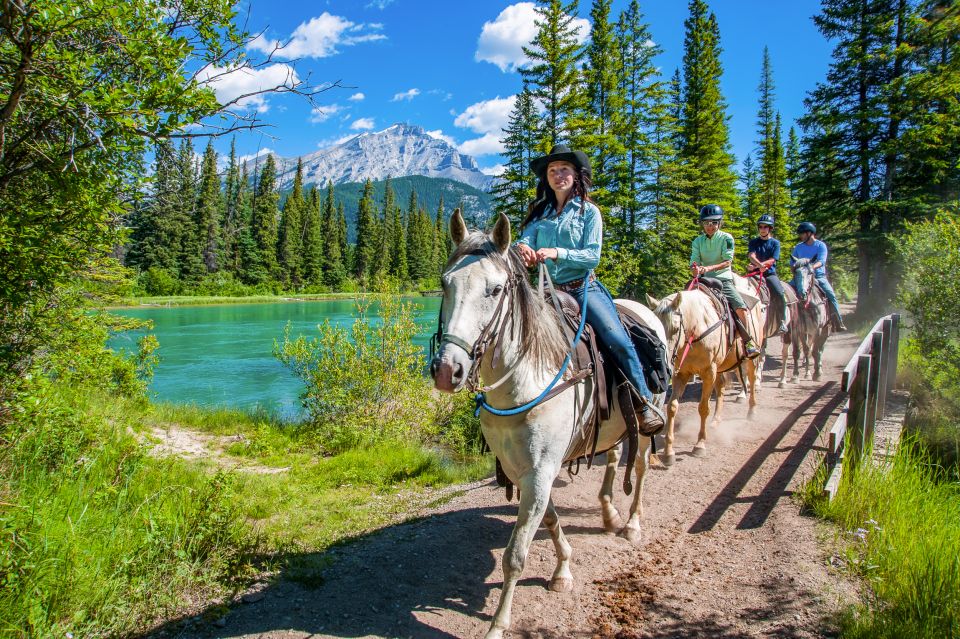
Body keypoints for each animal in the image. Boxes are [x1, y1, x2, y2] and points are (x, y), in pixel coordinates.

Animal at [432, 211, 664, 639]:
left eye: (495, 289)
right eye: (444, 283)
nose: (446, 370)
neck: (526, 380)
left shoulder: (540, 471)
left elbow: (516, 554)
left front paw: (497, 624)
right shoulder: (524, 469)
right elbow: (552, 519)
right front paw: (563, 571)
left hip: (650, 418)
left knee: (639, 468)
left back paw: (632, 524)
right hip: (613, 427)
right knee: (614, 458)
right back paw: (609, 516)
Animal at [644, 276, 764, 464]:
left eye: (676, 329)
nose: (665, 363)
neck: (697, 328)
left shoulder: (708, 372)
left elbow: (703, 408)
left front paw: (699, 445)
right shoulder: (681, 373)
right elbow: (672, 407)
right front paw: (669, 452)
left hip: (749, 359)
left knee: (751, 381)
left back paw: (751, 411)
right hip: (721, 367)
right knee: (721, 387)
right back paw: (715, 421)